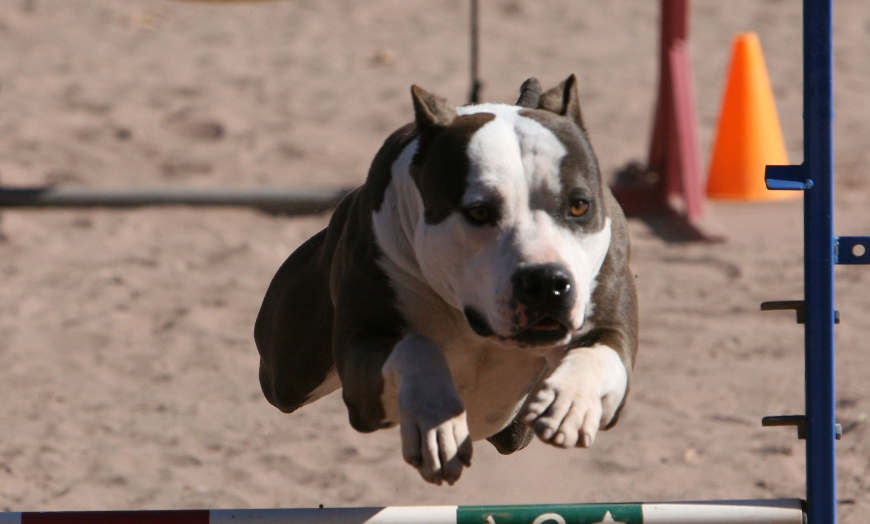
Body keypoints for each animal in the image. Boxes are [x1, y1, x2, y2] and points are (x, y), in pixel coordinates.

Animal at [255, 75, 636, 486]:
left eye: (579, 205)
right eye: (479, 212)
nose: (547, 282)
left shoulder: (610, 326)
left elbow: (599, 350)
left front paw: (572, 400)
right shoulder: (363, 359)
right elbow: (416, 346)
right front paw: (434, 420)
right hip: (289, 371)